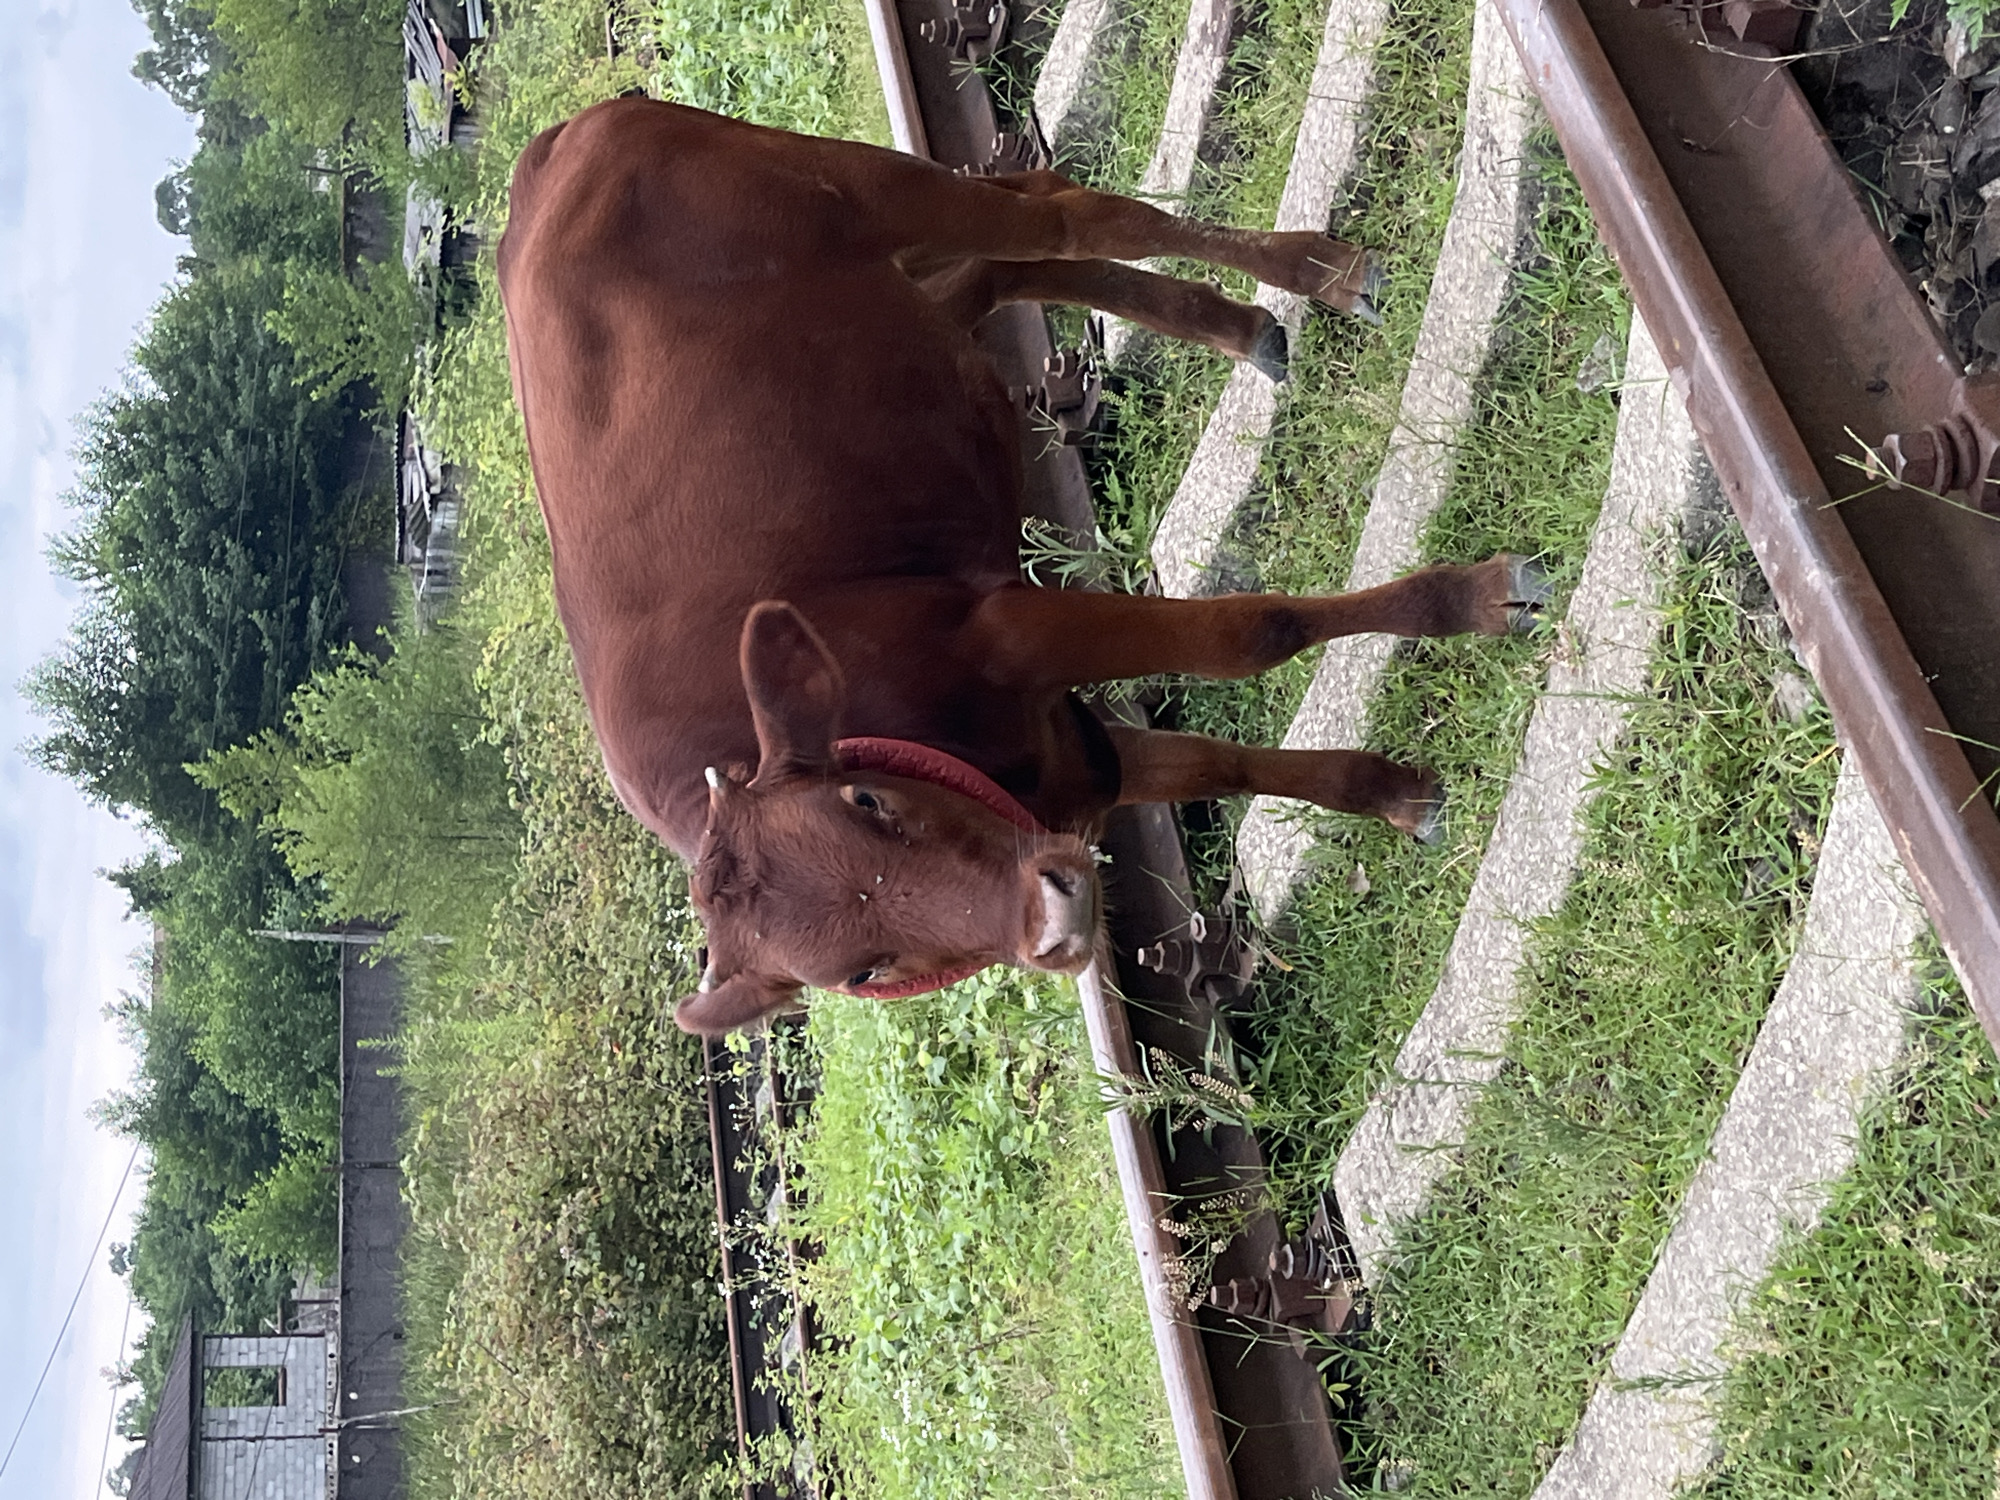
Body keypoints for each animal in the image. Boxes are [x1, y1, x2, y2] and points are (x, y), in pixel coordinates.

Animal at [497, 98, 1547, 1036]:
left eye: (866, 800)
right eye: (862, 971)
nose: (1059, 915)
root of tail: (553, 149)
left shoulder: (1013, 630)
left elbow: (1250, 633)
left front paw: (1476, 598)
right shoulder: (1067, 759)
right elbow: (1220, 761)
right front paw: (1391, 794)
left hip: (879, 189)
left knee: (1067, 213)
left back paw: (1316, 272)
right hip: (900, 294)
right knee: (1012, 263)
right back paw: (1238, 323)